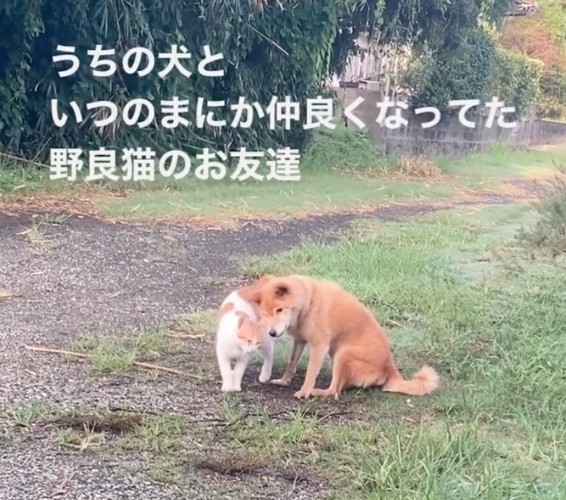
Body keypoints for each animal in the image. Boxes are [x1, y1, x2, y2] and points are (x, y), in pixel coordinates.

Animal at [242, 274, 442, 398]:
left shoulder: (319, 346)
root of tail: (390, 368)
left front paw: (304, 391)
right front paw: (284, 381)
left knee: (334, 391)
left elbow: (310, 373)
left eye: (279, 310)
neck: (309, 303)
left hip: (342, 354)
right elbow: (291, 365)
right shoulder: (300, 340)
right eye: (265, 314)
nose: (272, 333)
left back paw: (316, 392)